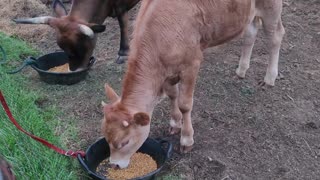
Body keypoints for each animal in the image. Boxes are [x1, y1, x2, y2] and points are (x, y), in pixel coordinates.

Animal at [103, 0, 284, 169]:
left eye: (124, 142)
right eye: (106, 138)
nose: (114, 165)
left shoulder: (192, 63)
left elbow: (185, 104)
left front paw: (186, 139)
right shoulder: (167, 72)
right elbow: (172, 94)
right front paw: (175, 123)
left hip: (272, 8)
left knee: (276, 35)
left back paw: (269, 78)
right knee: (251, 30)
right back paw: (242, 69)